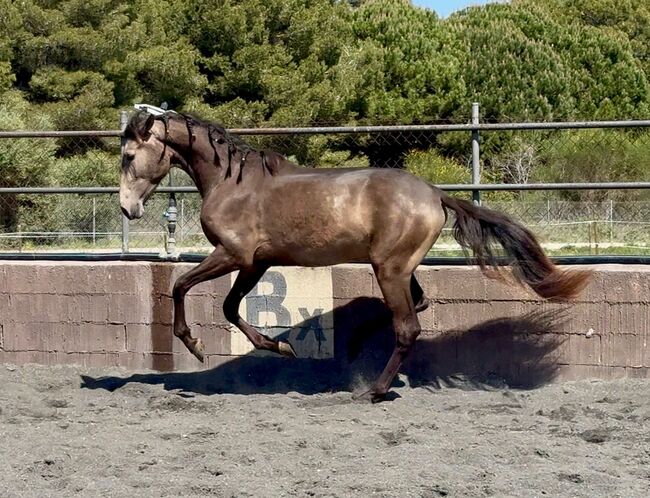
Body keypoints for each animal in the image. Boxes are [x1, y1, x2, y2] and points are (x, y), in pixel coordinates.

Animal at [119, 109, 590, 402]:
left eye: (128, 155)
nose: (128, 208)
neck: (232, 183)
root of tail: (435, 194)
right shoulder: (257, 263)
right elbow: (231, 308)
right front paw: (279, 346)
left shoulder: (234, 254)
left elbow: (183, 287)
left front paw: (196, 346)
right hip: (397, 268)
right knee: (415, 308)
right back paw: (360, 345)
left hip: (389, 268)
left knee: (408, 327)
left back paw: (373, 390)